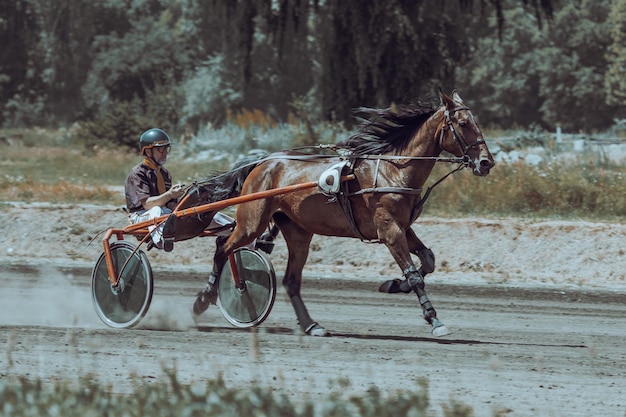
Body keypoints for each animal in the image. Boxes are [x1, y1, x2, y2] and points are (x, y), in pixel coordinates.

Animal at [186, 90, 492, 334]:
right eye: (463, 124)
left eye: (477, 122)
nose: (486, 162)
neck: (394, 169)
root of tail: (262, 162)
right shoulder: (389, 230)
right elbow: (415, 274)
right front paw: (434, 319)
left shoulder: (403, 227)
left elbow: (427, 260)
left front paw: (394, 284)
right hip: (252, 221)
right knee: (222, 247)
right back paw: (205, 298)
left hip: (298, 231)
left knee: (290, 281)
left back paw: (311, 325)